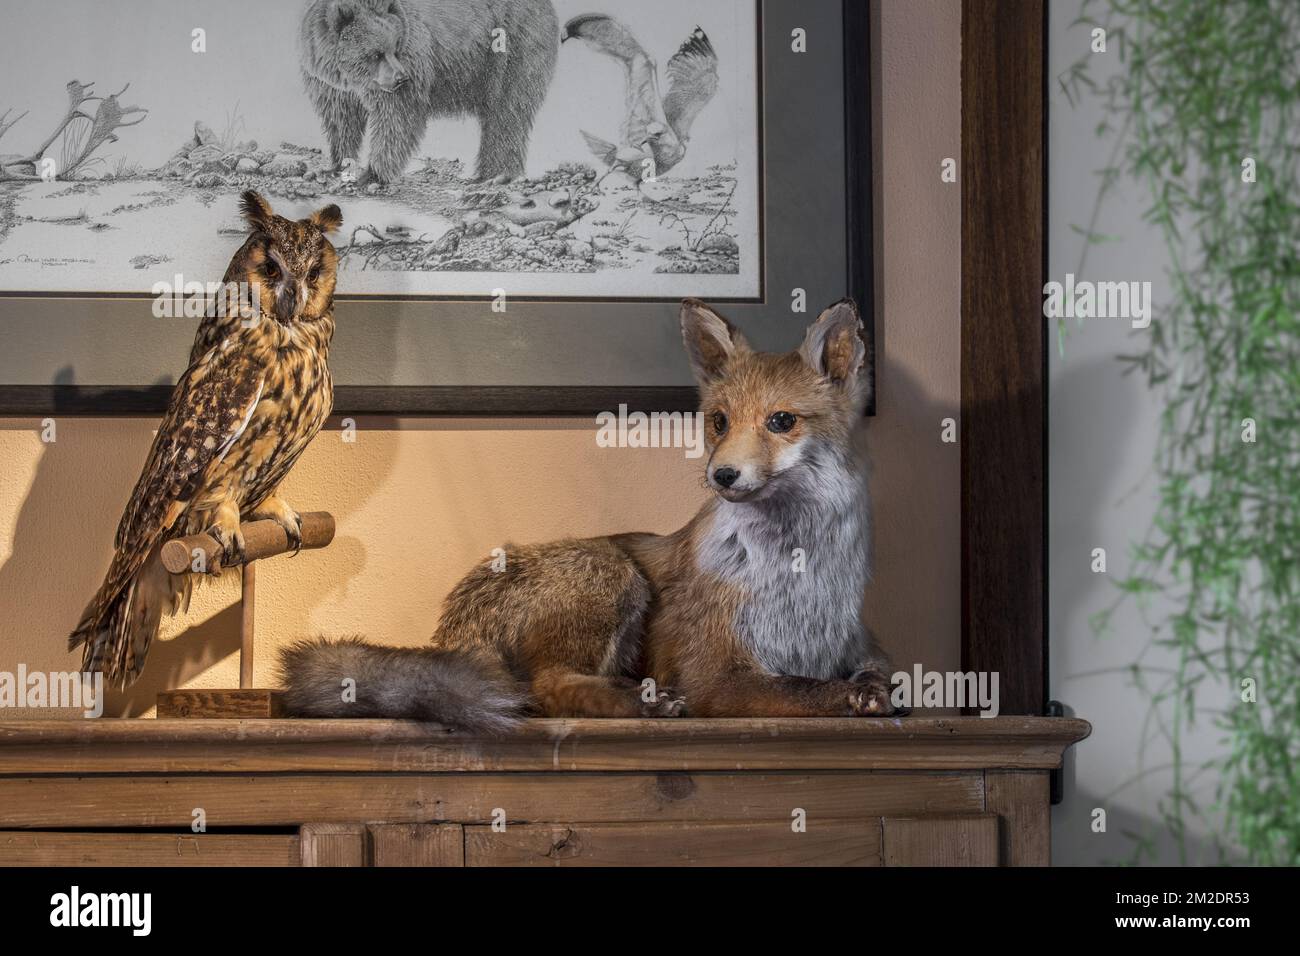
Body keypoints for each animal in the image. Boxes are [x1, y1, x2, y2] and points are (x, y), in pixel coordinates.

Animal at [280, 300, 899, 733]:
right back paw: (642, 703)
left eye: (781, 421)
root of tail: (454, 622)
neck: (798, 575)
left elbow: (885, 673)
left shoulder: (858, 643)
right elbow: (801, 688)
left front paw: (874, 688)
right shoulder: (718, 674)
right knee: (547, 687)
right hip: (610, 570)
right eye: (720, 421)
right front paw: (850, 698)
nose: (722, 476)